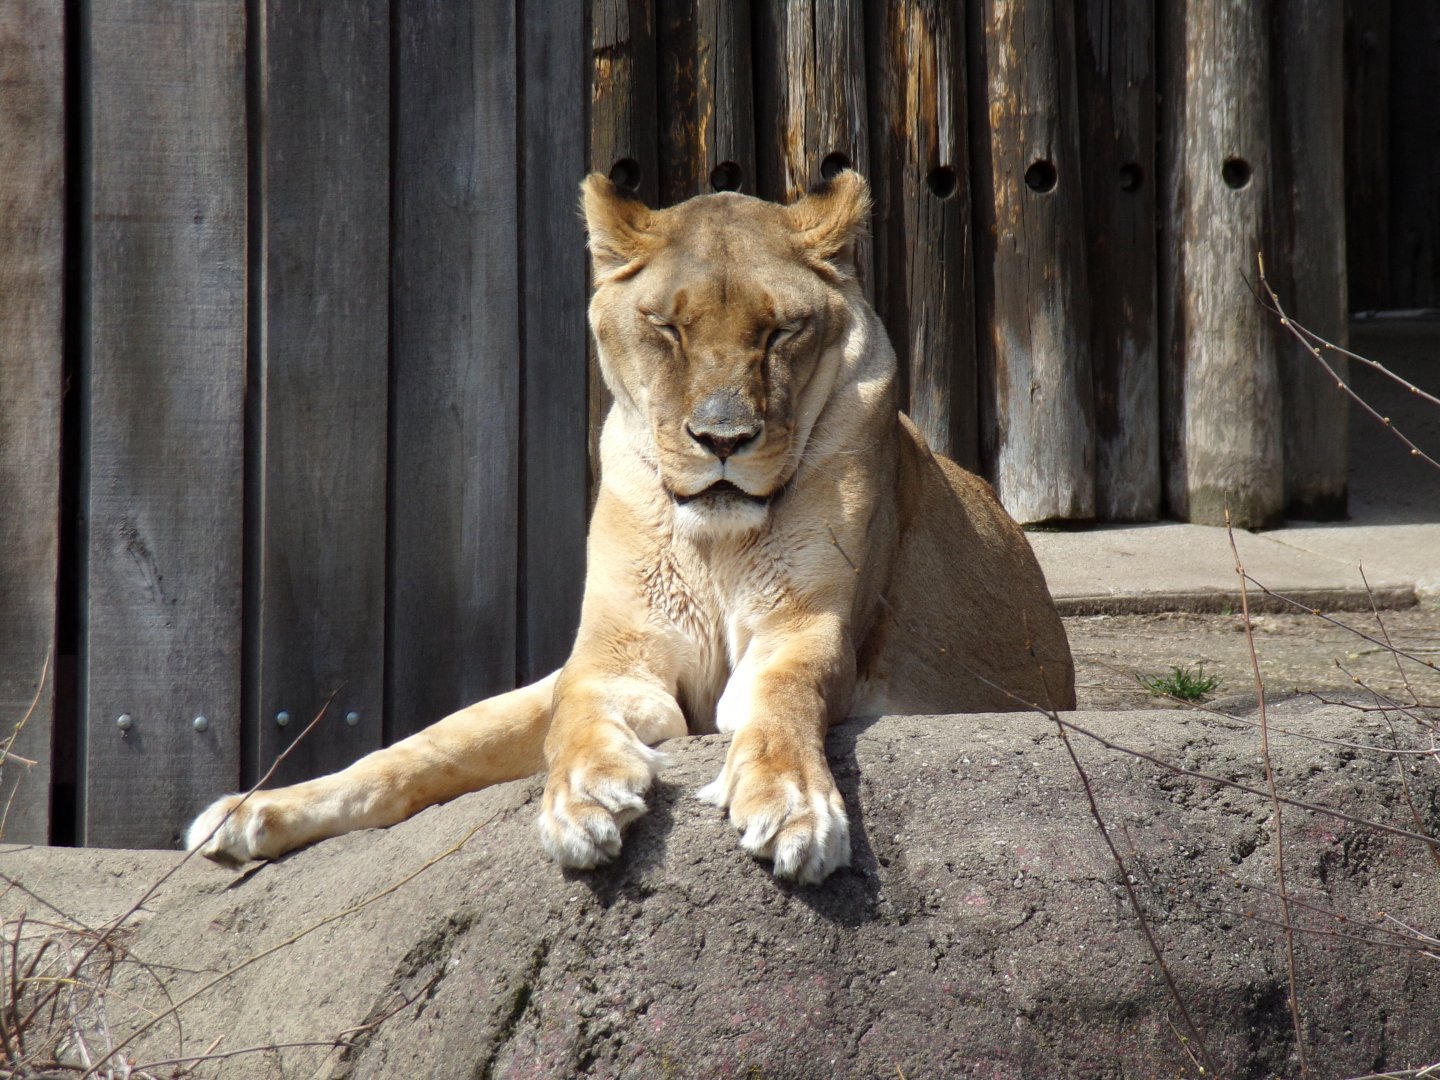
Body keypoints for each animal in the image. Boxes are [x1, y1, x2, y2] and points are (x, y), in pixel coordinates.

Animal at [188, 171, 1075, 884]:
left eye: (781, 330)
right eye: (667, 327)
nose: (723, 439)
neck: (715, 542)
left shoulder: (805, 630)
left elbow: (781, 706)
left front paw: (792, 807)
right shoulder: (614, 655)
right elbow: (573, 723)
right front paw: (583, 800)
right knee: (413, 750)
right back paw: (245, 816)